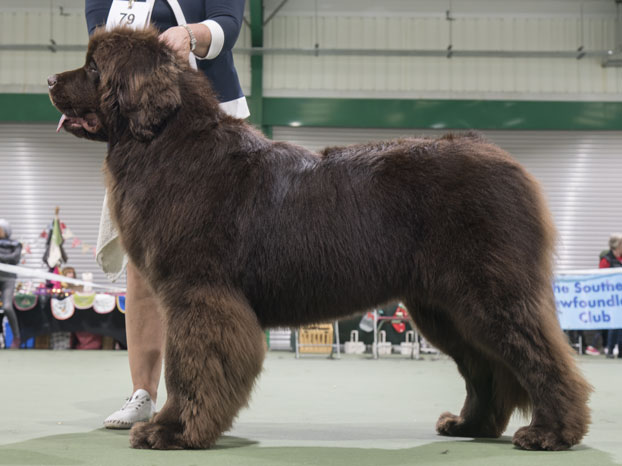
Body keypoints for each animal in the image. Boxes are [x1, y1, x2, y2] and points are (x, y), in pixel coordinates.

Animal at [48, 26, 588, 452]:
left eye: (94, 68)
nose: (50, 80)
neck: (166, 141)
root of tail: (506, 160)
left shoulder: (198, 295)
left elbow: (190, 365)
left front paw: (173, 432)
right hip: (446, 307)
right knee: (487, 369)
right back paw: (469, 425)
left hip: (491, 294)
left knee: (541, 355)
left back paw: (552, 433)